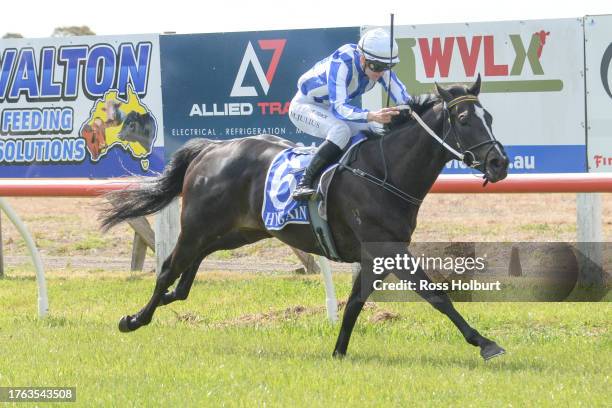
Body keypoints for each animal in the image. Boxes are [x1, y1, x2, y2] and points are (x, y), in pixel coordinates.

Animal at [103, 76, 510, 360]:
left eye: (489, 117)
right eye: (463, 119)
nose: (499, 163)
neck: (385, 172)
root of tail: (212, 148)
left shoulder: (375, 255)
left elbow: (355, 304)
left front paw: (339, 351)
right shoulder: (388, 249)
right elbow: (435, 294)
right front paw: (485, 342)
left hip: (241, 230)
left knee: (191, 268)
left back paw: (172, 296)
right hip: (199, 225)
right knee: (168, 268)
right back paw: (134, 319)